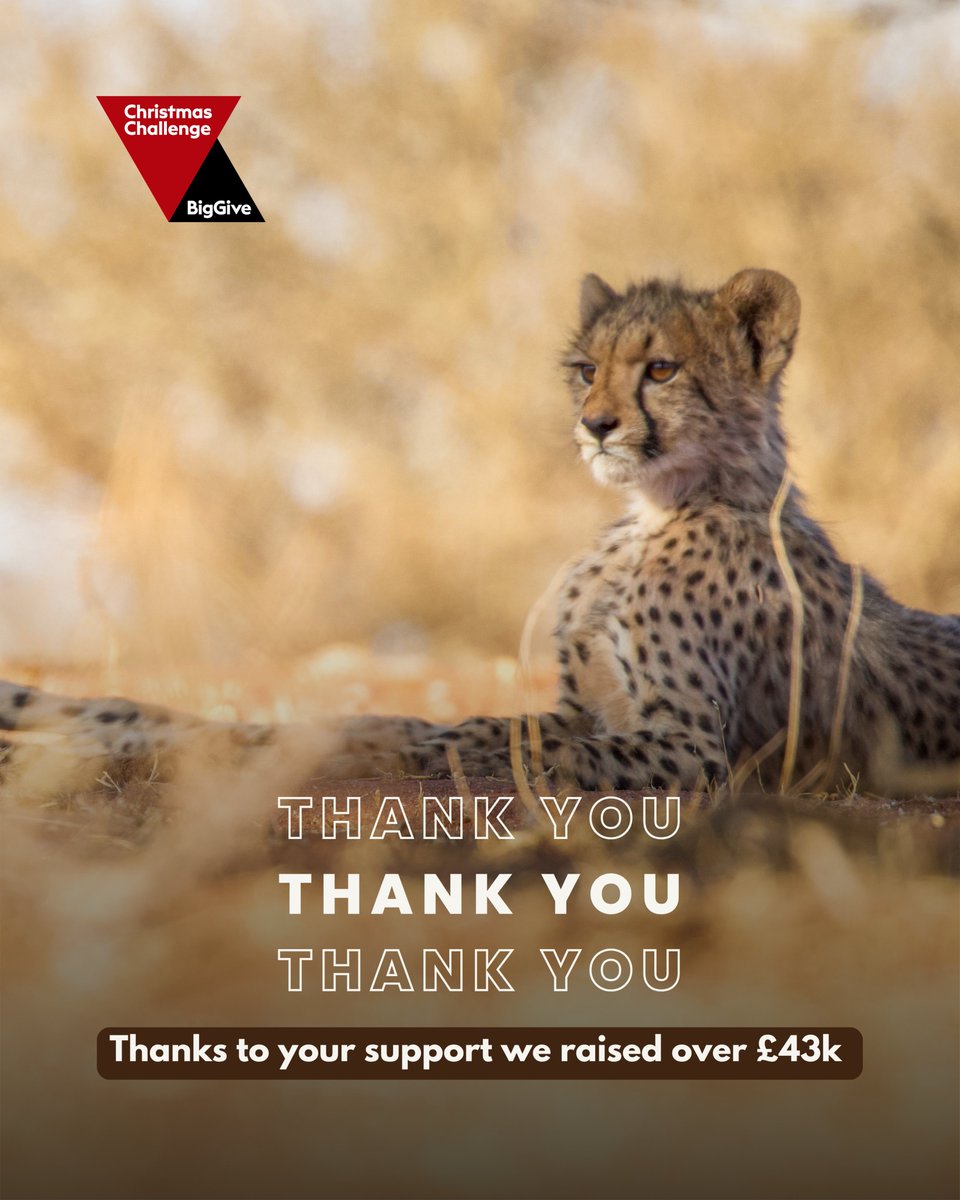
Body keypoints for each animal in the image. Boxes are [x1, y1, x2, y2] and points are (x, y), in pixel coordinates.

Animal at [2, 267, 959, 800]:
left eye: (660, 369)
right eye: (585, 368)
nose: (596, 425)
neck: (657, 510)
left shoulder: (696, 749)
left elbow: (483, 739)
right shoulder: (584, 705)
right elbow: (462, 723)